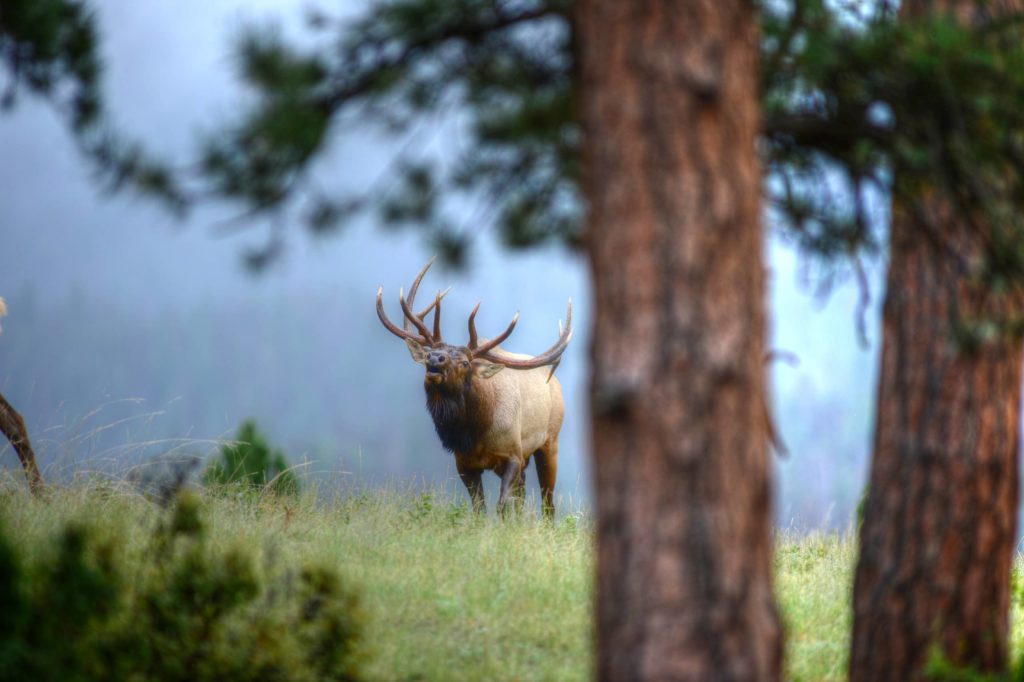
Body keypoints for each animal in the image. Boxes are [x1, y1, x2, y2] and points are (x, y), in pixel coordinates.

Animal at [376, 258, 572, 518]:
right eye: (431, 352)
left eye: (465, 363)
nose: (435, 358)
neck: (476, 433)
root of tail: (555, 383)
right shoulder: (464, 464)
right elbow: (479, 509)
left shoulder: (513, 454)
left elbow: (501, 505)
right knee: (521, 497)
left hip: (550, 441)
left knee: (547, 502)